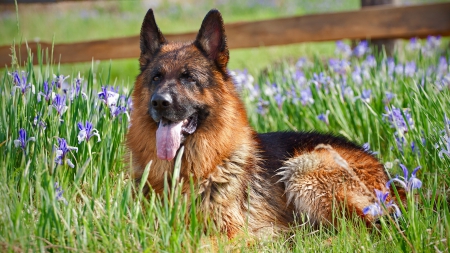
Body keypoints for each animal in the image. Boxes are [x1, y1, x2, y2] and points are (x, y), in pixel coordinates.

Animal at [127, 8, 400, 238]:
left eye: (189, 78)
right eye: (156, 77)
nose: (159, 102)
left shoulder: (230, 232)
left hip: (302, 169)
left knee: (367, 228)